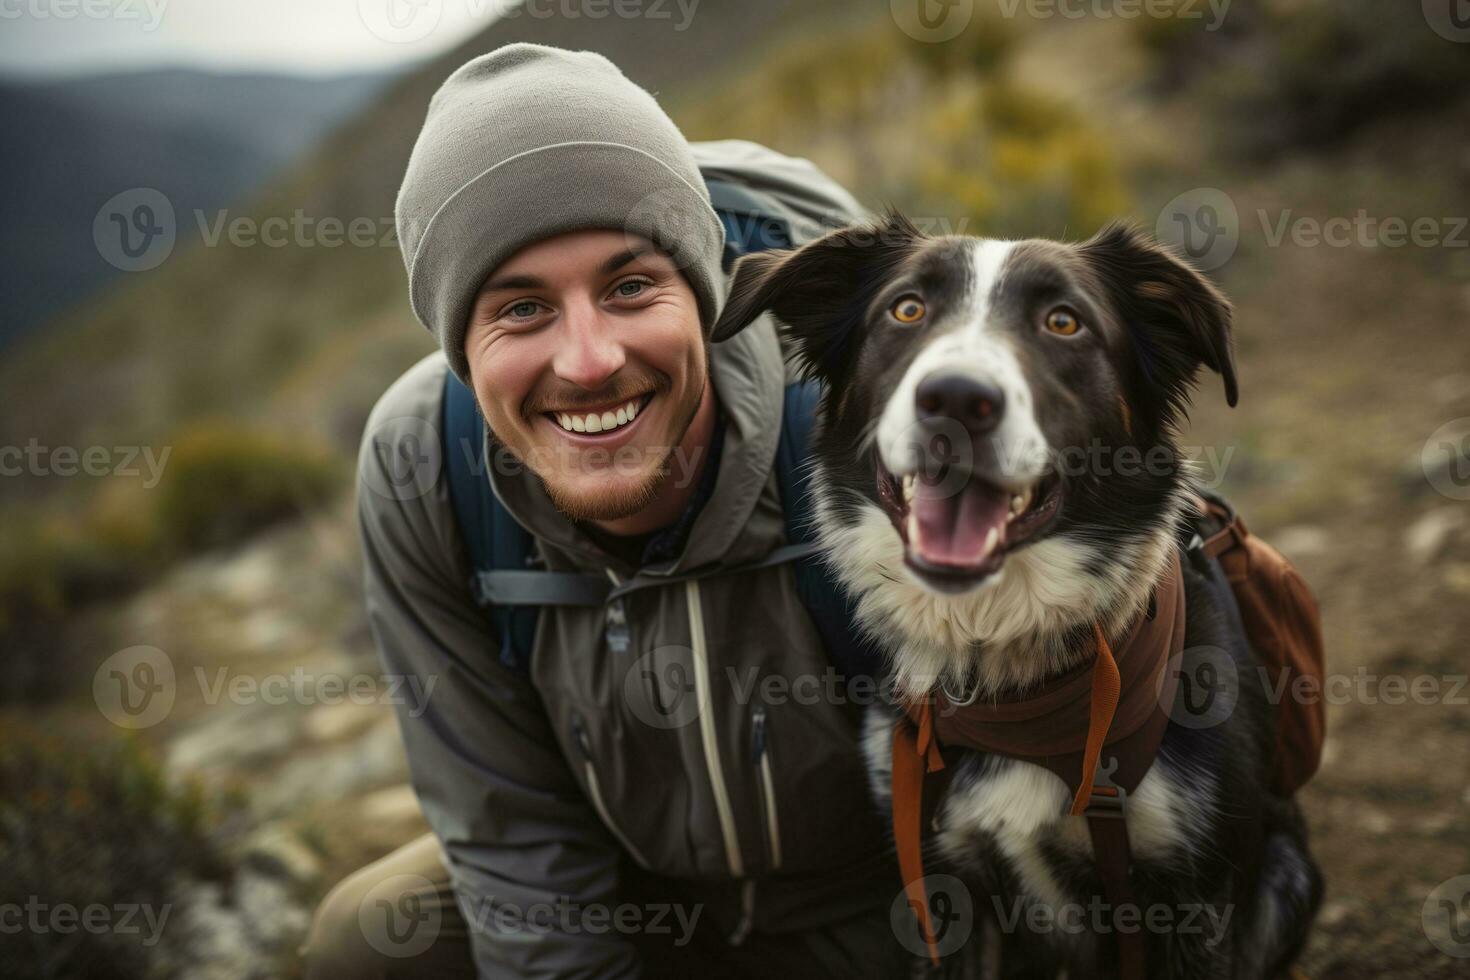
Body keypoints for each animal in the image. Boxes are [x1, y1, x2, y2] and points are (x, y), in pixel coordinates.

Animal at [717, 215, 1328, 980]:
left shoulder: (1195, 898)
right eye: (906, 309)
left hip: (1288, 872)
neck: (1007, 673)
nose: (955, 399)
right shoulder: (941, 881)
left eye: (1063, 321)